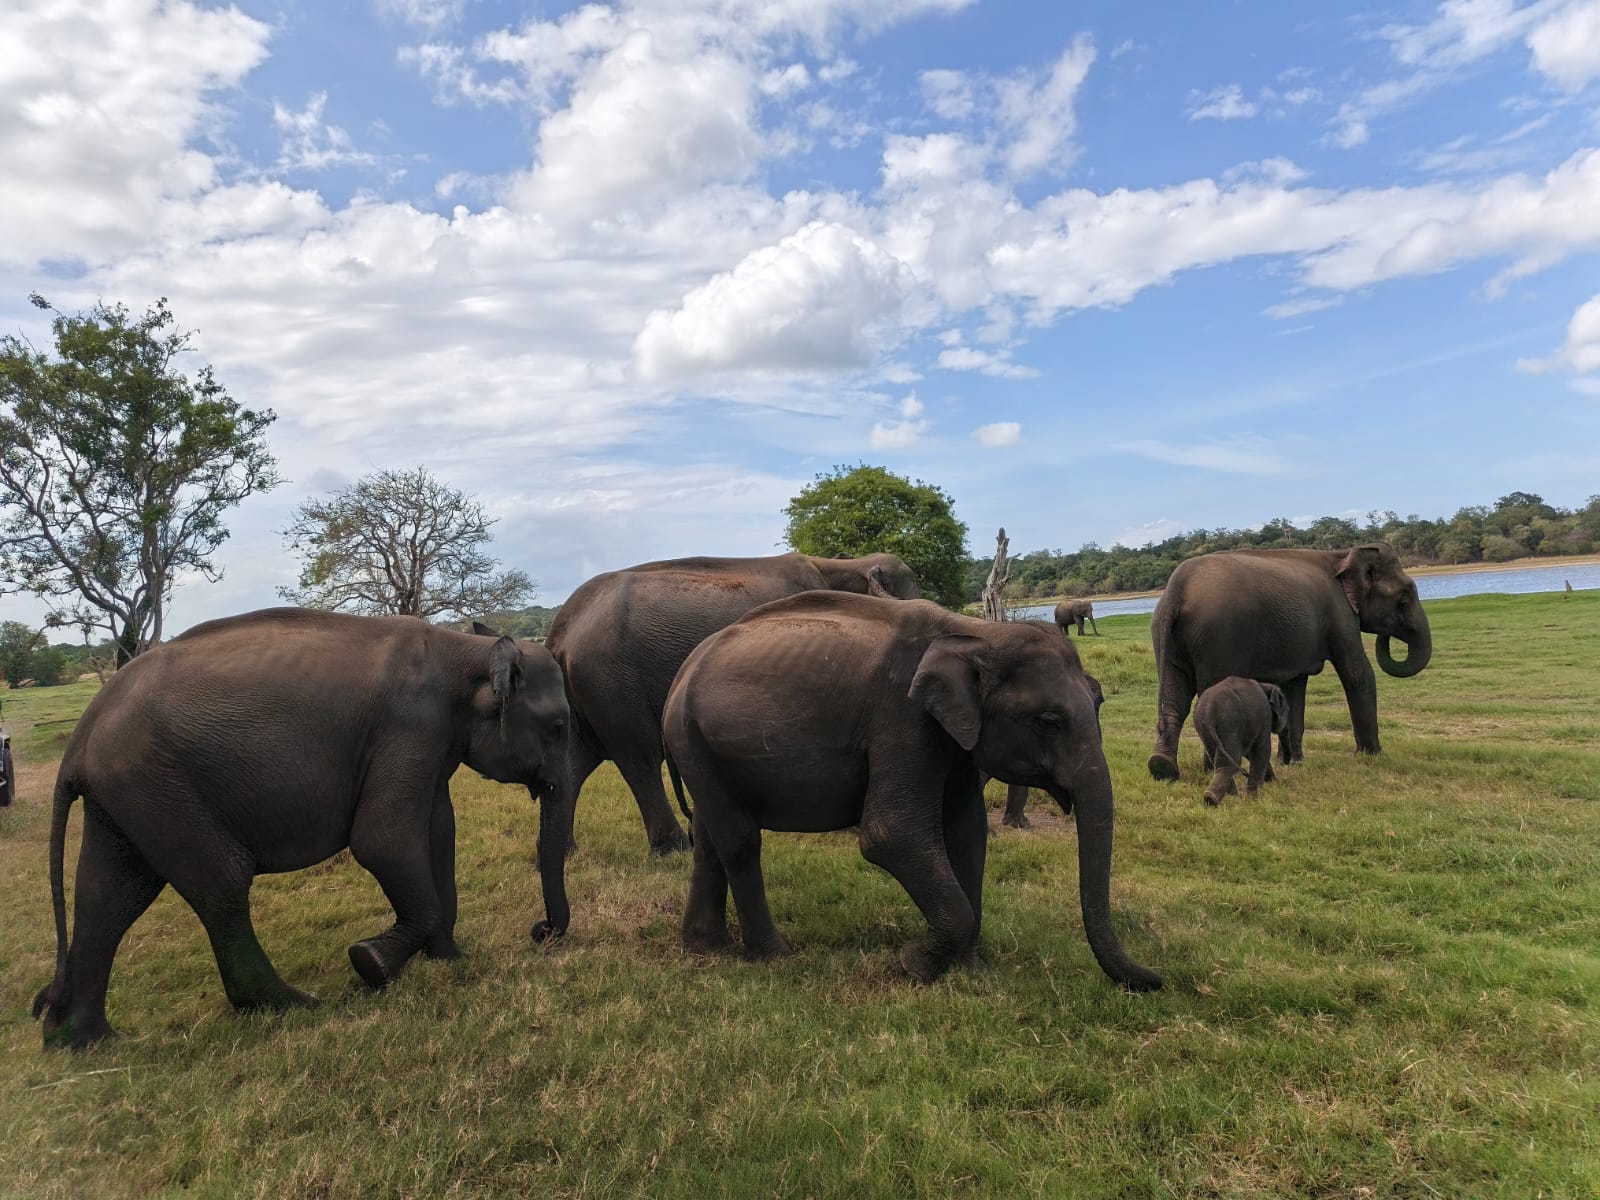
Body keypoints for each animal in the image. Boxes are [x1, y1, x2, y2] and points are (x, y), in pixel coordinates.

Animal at [32, 608, 571, 1050]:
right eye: (559, 726)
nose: (540, 932)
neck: (464, 649)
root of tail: (77, 742)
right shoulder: (410, 729)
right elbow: (382, 841)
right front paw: (370, 963)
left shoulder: (431, 745)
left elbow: (439, 832)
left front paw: (450, 961)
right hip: (157, 784)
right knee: (219, 884)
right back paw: (292, 1005)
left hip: (128, 794)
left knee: (111, 894)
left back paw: (84, 1041)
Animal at [545, 552, 920, 856]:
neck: (843, 565)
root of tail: (559, 632)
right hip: (610, 679)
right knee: (639, 756)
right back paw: (675, 850)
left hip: (585, 689)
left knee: (576, 760)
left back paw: (563, 853)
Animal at [663, 593, 1162, 990]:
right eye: (1048, 722)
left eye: (1099, 703)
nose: (1159, 979)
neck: (978, 634)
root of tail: (681, 673)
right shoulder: (902, 719)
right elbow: (891, 835)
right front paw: (914, 965)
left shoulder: (952, 738)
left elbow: (967, 831)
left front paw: (970, 968)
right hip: (692, 738)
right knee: (740, 842)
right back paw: (775, 957)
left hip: (700, 745)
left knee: (710, 840)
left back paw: (707, 949)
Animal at [1147, 544, 1432, 781]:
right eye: (1403, 599)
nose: (1387, 636)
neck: (1343, 554)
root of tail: (1175, 593)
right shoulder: (1340, 616)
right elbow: (1357, 674)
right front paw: (1373, 756)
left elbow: (1294, 687)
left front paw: (1293, 762)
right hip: (1218, 635)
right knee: (1207, 695)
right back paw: (1213, 769)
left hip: (1169, 637)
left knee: (1175, 700)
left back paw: (1164, 768)